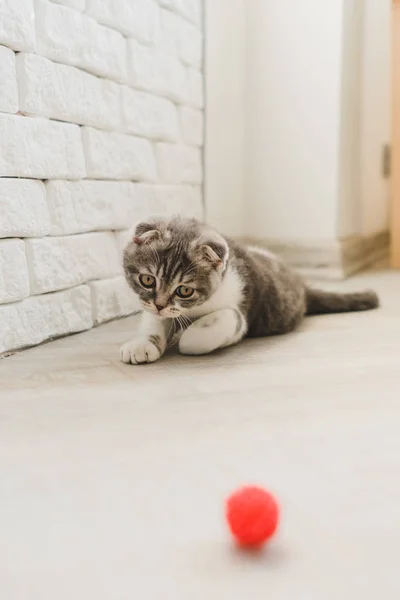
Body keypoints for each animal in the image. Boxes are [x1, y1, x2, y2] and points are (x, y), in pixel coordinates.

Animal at [120, 217, 380, 366]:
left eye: (184, 290)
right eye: (147, 280)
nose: (160, 304)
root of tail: (303, 287)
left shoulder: (241, 311)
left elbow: (218, 325)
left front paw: (186, 338)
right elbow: (153, 320)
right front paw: (142, 345)